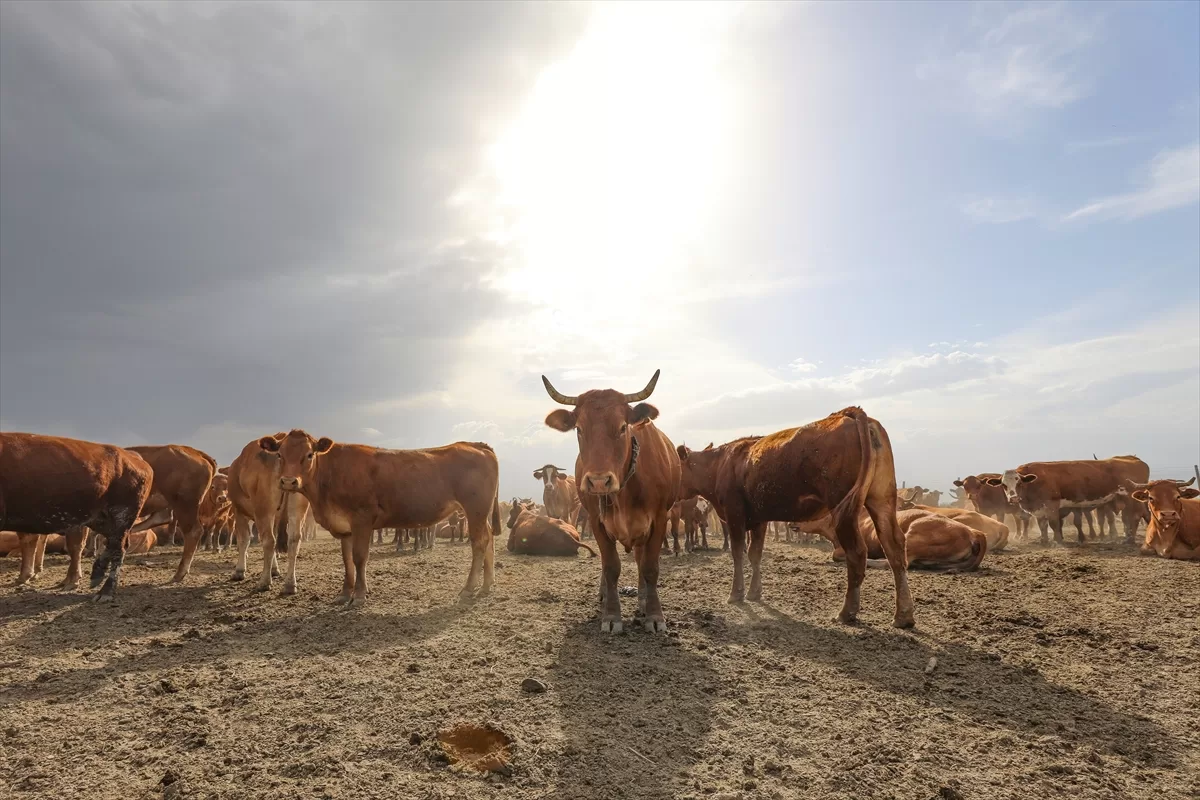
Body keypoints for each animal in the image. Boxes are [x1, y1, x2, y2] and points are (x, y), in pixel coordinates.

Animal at [0, 431, 152, 599]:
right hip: (100, 520)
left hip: (121, 517)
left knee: (118, 548)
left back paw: (105, 591)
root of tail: (131, 456)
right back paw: (96, 573)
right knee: (109, 544)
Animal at [262, 431, 501, 606]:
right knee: (489, 538)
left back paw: (469, 588)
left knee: (479, 543)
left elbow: (359, 558)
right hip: (482, 514)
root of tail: (475, 445)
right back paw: (487, 585)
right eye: (280, 454)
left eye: (309, 455)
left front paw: (359, 595)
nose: (288, 481)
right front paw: (345, 593)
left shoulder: (362, 518)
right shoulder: (345, 527)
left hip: (475, 509)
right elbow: (346, 560)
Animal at [681, 410, 912, 628]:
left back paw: (847, 612)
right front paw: (755, 592)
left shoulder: (734, 513)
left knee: (856, 553)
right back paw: (904, 615)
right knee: (894, 547)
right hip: (882, 500)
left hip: (843, 508)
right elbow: (755, 554)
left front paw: (736, 594)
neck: (720, 464)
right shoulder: (759, 518)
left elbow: (738, 553)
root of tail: (850, 414)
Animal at [993, 455, 1152, 544]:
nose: (1013, 498)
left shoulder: (1052, 505)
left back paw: (1130, 539)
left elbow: (1053, 524)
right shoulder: (1039, 508)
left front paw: (1057, 540)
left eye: (1019, 482)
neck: (1035, 482)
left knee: (1135, 516)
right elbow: (1042, 525)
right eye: (1003, 485)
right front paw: (1043, 540)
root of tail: (1135, 460)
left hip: (1131, 498)